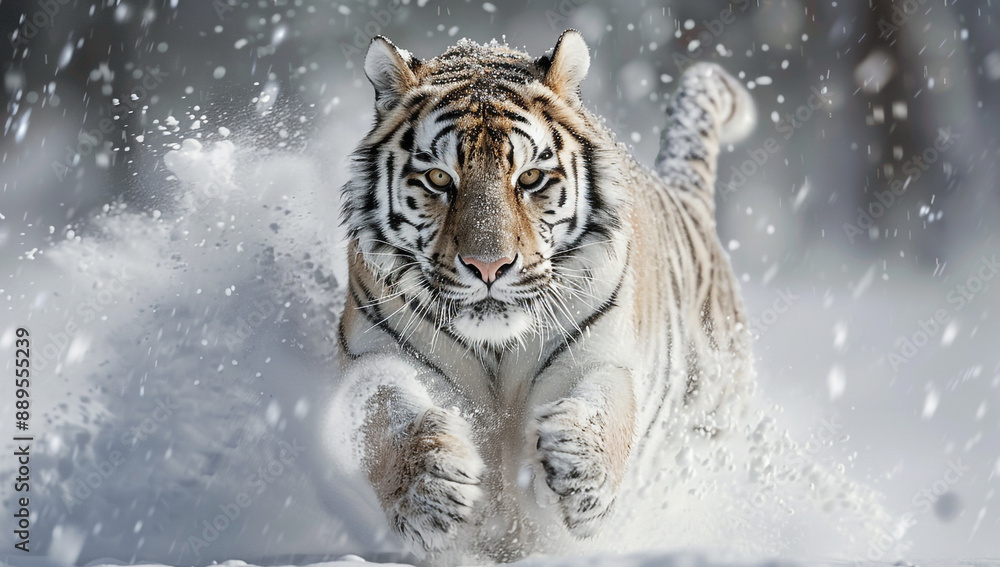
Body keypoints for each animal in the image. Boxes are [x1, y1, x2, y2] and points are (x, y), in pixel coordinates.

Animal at [329, 30, 757, 563]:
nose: (488, 266)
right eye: (439, 179)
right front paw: (430, 490)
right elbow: (386, 410)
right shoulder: (375, 351)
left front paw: (579, 470)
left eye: (530, 178)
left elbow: (608, 403)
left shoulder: (600, 351)